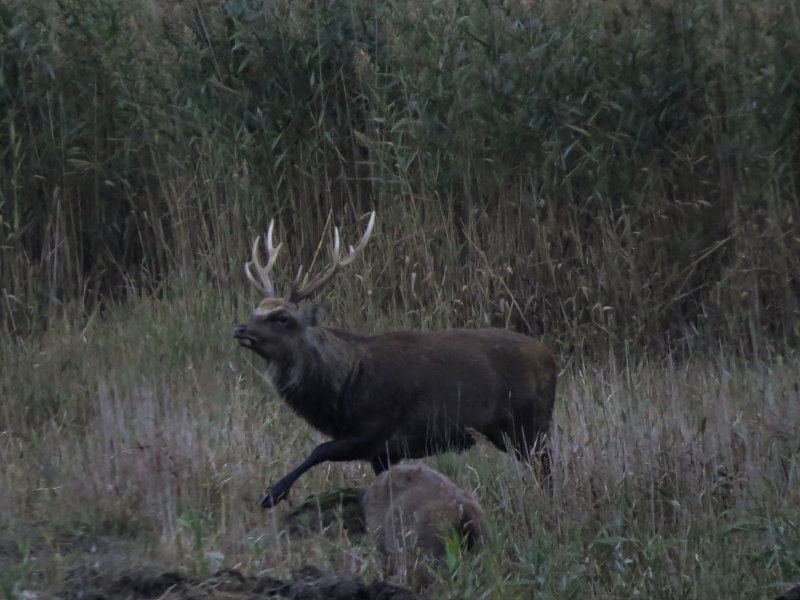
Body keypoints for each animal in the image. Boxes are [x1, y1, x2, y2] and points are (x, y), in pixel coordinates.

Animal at [233, 211, 557, 509]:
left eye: (282, 318)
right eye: (255, 311)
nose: (240, 328)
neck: (344, 388)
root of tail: (550, 358)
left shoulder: (374, 429)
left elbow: (319, 451)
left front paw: (273, 493)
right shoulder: (384, 452)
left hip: (529, 422)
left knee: (546, 465)